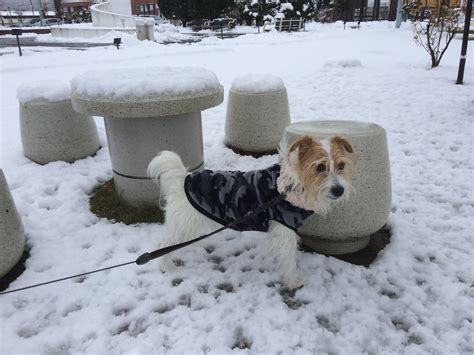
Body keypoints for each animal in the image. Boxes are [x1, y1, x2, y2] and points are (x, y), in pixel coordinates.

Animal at [146, 135, 354, 290]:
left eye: (341, 166)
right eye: (320, 167)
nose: (339, 190)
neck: (290, 186)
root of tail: (184, 178)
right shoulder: (284, 231)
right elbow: (287, 257)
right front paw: (292, 280)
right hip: (185, 226)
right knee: (165, 245)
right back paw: (166, 266)